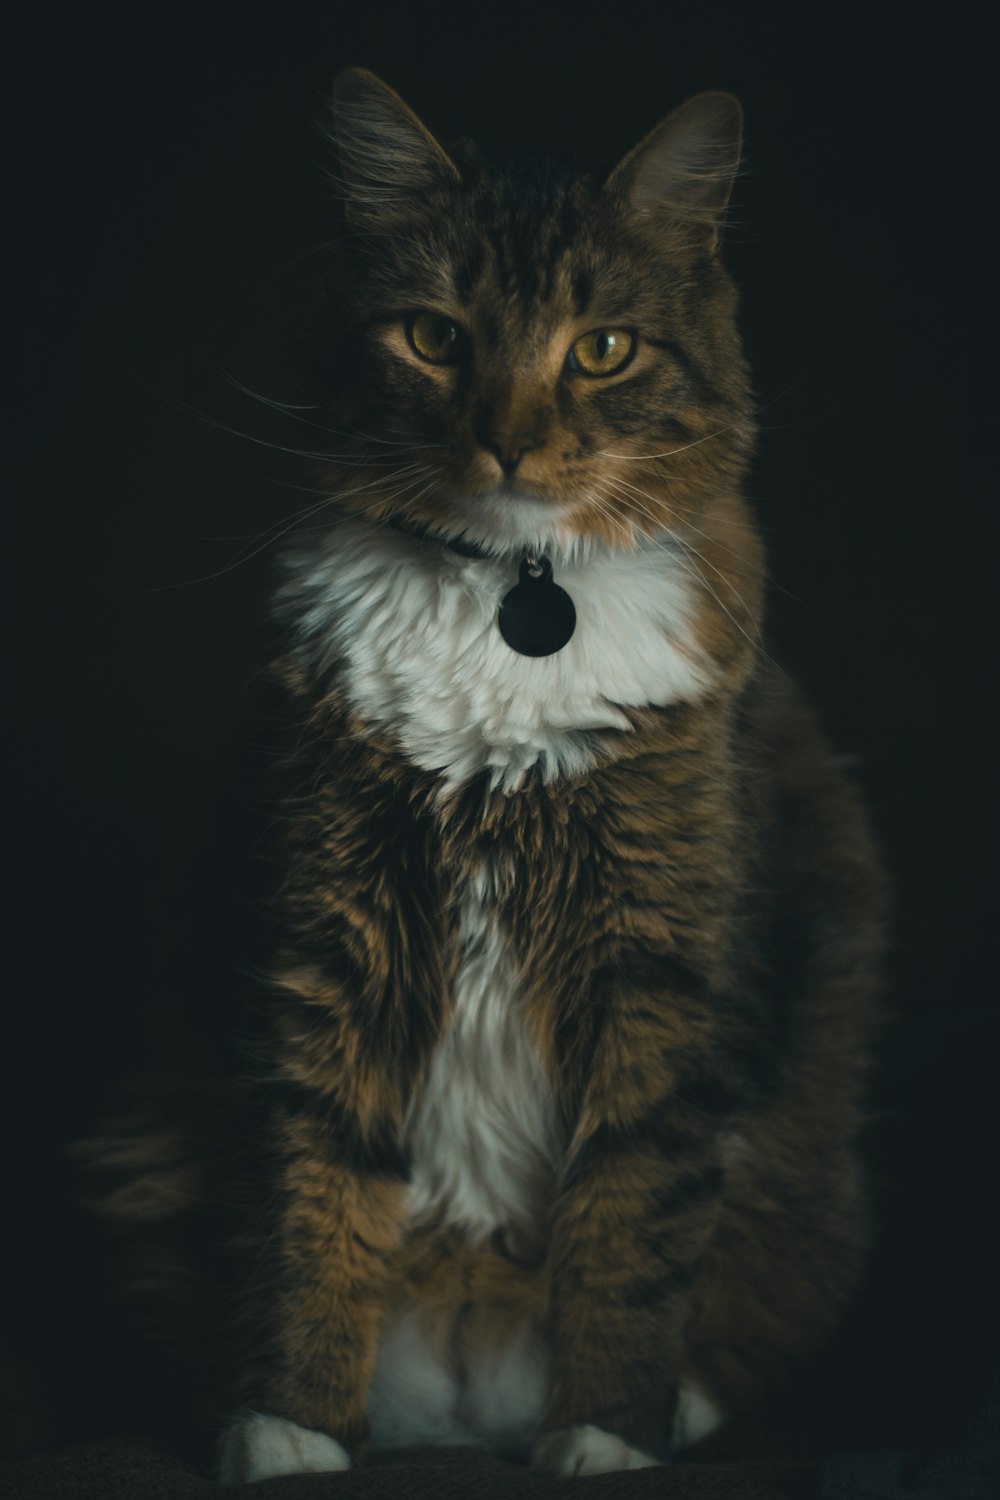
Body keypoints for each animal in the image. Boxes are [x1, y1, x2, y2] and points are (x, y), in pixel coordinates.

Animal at [82, 64, 887, 1482]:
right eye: (435, 338)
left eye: (601, 349)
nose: (508, 441)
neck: (512, 600)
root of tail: (468, 1382)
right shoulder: (332, 934)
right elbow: (310, 1200)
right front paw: (294, 1422)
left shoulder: (659, 963)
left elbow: (632, 1217)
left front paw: (606, 1429)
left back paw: (663, 1411)